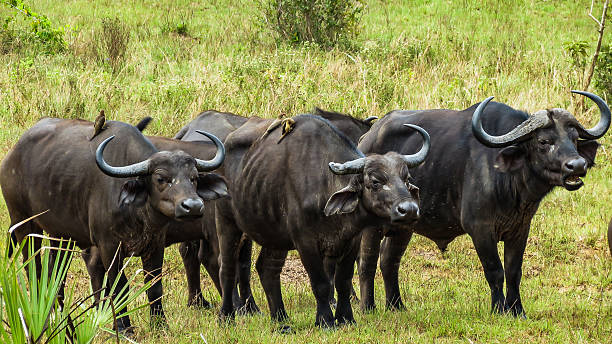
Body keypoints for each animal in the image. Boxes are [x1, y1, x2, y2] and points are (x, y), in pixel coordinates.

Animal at [0, 117, 227, 330]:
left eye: (194, 178)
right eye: (161, 178)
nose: (193, 206)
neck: (138, 213)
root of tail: (11, 157)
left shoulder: (155, 245)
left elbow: (154, 285)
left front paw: (160, 323)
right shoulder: (109, 246)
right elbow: (119, 287)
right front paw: (124, 327)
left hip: (61, 234)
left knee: (56, 271)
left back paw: (59, 313)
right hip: (24, 224)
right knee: (33, 267)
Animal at [356, 91, 608, 318]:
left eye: (573, 138)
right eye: (544, 141)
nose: (577, 165)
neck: (511, 186)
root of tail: (365, 140)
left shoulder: (520, 229)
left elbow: (514, 271)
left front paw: (517, 310)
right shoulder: (480, 228)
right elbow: (494, 270)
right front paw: (499, 309)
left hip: (404, 226)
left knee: (389, 259)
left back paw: (396, 306)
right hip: (373, 227)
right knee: (367, 261)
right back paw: (368, 308)